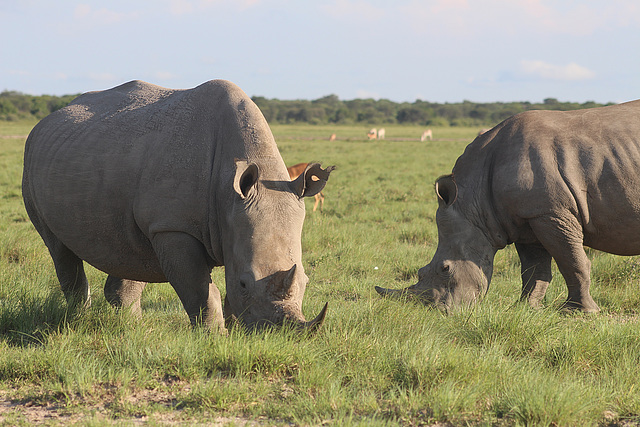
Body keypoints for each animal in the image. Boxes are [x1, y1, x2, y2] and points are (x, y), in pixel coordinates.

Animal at [22, 80, 332, 334]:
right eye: (245, 283)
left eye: (306, 281)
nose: (278, 336)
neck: (229, 193)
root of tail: (46, 120)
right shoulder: (173, 227)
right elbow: (200, 290)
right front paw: (214, 337)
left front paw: (234, 332)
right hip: (32, 165)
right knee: (59, 249)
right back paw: (78, 321)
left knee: (130, 250)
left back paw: (134, 329)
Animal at [376, 100, 640, 314]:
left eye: (445, 268)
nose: (439, 312)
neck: (473, 199)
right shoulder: (527, 218)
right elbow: (534, 270)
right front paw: (525, 309)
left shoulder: (551, 213)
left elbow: (573, 262)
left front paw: (579, 313)